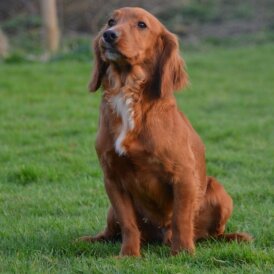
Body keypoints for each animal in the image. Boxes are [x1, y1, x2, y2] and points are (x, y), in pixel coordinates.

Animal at [78, 6, 250, 256]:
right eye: (111, 21)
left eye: (141, 24)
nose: (108, 35)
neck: (129, 93)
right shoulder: (111, 177)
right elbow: (128, 223)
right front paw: (129, 255)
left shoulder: (183, 175)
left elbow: (181, 219)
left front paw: (183, 253)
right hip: (111, 211)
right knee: (111, 232)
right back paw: (89, 240)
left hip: (220, 192)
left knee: (212, 234)